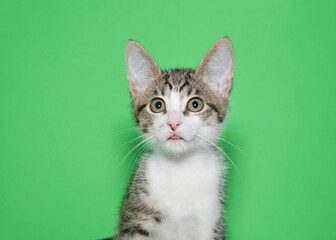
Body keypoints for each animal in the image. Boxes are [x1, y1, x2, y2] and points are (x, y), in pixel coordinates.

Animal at [111, 38, 232, 239]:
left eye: (195, 104)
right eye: (157, 105)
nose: (173, 123)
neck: (180, 169)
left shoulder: (210, 223)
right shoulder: (134, 221)